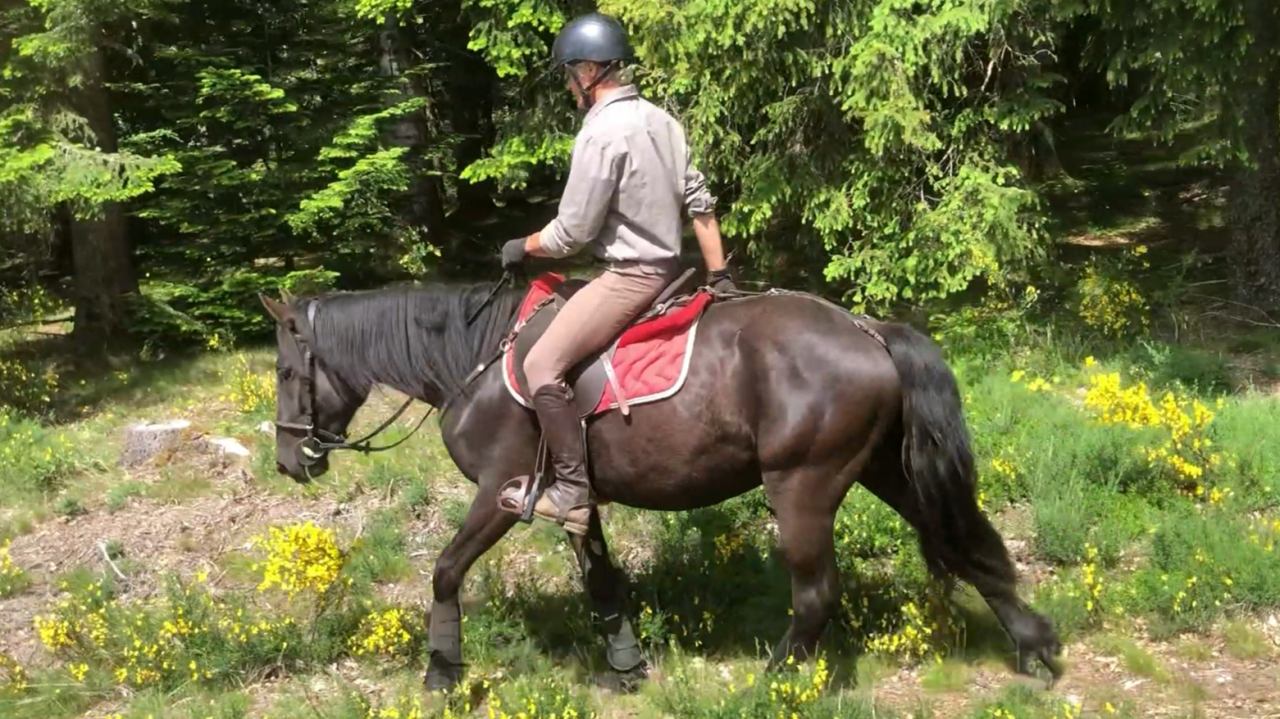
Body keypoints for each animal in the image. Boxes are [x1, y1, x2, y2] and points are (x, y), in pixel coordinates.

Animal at [258, 272, 1063, 694]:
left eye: (287, 371)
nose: (292, 460)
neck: (476, 362)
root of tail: (867, 329)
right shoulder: (577, 502)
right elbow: (602, 583)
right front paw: (625, 666)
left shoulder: (502, 493)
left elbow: (445, 571)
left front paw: (441, 668)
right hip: (884, 469)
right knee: (958, 541)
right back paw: (1032, 643)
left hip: (803, 485)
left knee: (816, 594)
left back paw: (772, 683)